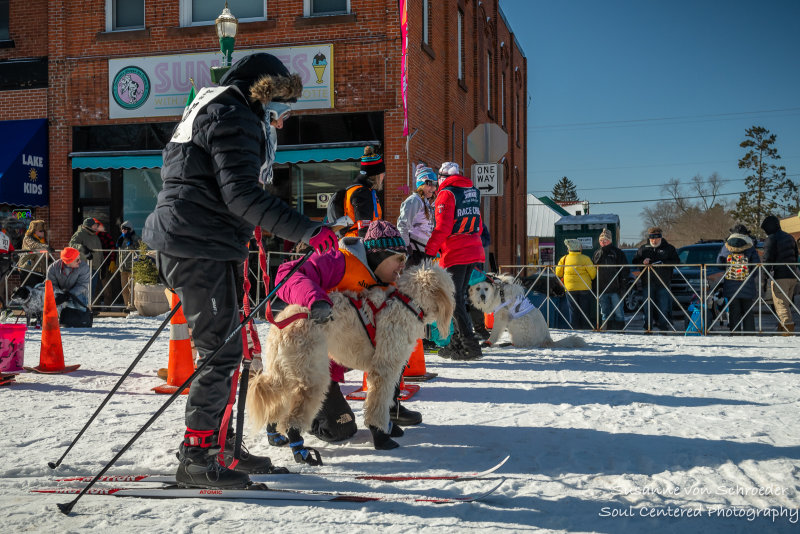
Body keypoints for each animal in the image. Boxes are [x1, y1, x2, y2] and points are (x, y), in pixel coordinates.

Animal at [247, 264, 454, 456]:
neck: (407, 302)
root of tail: (282, 322)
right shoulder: (384, 369)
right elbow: (378, 404)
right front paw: (381, 436)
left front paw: (389, 427)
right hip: (311, 376)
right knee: (293, 417)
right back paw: (299, 447)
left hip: (287, 371)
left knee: (275, 402)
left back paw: (274, 435)